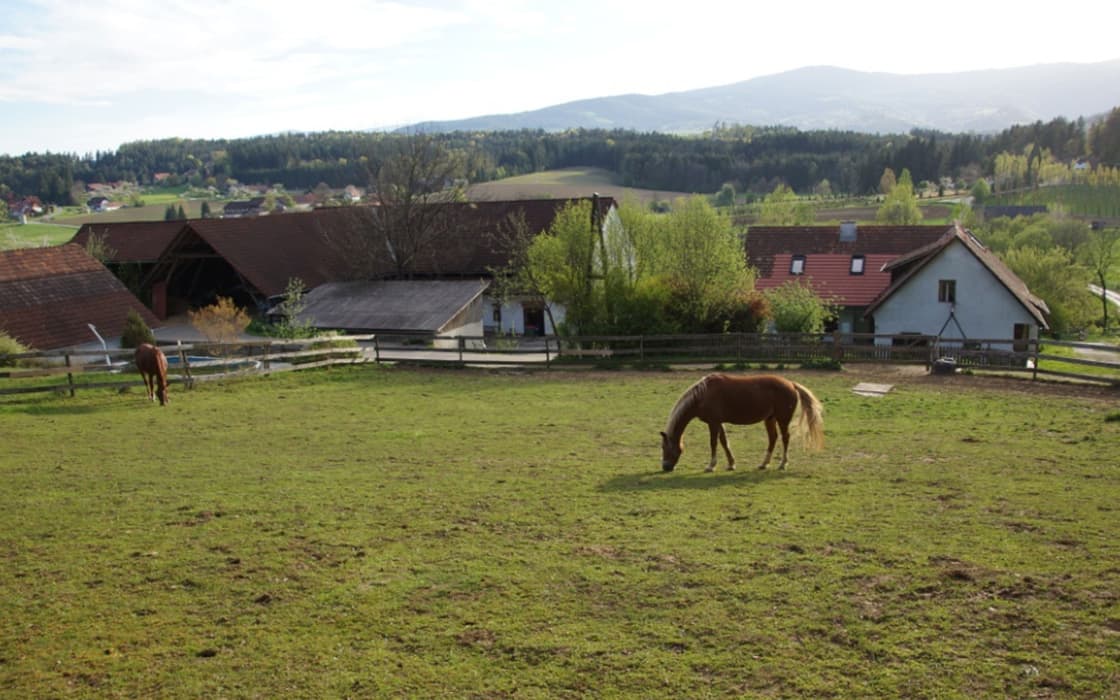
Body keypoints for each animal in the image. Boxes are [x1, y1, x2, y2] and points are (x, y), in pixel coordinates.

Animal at [660, 374, 823, 472]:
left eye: (665, 448)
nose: (665, 467)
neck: (702, 394)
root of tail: (791, 384)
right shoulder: (719, 422)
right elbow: (724, 442)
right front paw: (731, 464)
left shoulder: (713, 423)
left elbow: (713, 443)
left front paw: (711, 466)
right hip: (769, 419)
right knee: (773, 438)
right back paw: (764, 463)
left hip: (782, 419)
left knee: (785, 438)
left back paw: (783, 464)